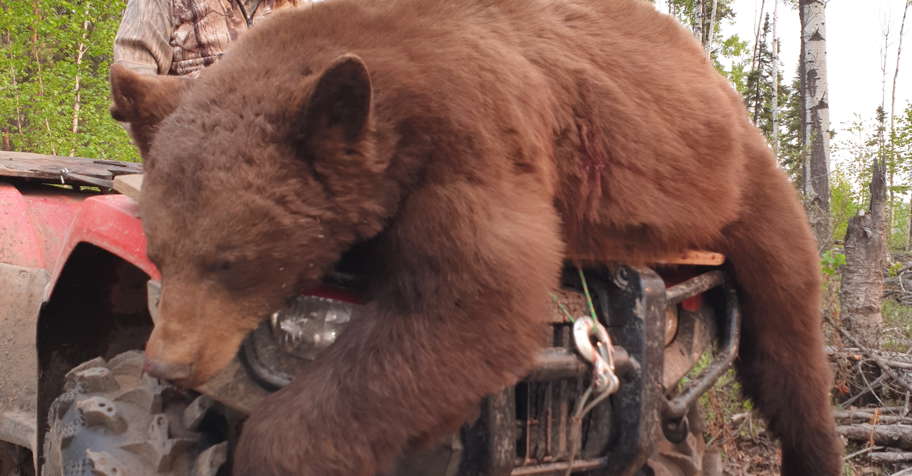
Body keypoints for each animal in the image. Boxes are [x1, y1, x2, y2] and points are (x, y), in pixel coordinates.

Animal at [109, 0, 843, 474]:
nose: (167, 364)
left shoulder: (472, 141)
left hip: (738, 188)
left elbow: (470, 306)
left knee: (788, 337)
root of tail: (710, 73)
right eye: (160, 251)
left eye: (231, 261)